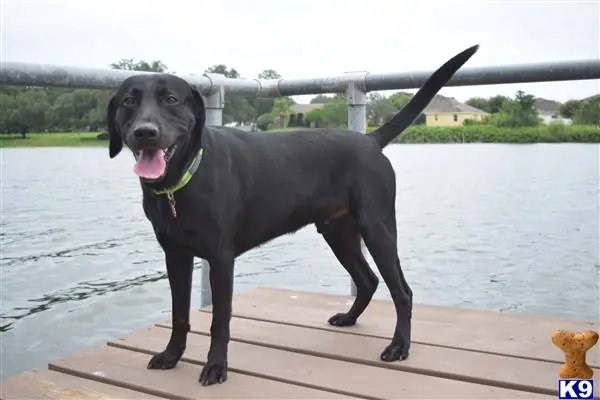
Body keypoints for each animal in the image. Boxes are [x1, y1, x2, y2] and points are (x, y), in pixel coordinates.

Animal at [106, 45, 478, 386]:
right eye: (128, 101)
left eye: (171, 99)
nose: (145, 132)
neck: (182, 181)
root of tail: (372, 141)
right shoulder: (176, 257)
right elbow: (179, 314)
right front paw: (171, 356)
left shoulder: (221, 257)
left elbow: (219, 320)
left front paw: (215, 367)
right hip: (338, 233)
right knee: (368, 281)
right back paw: (349, 319)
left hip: (378, 230)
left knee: (402, 292)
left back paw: (399, 347)